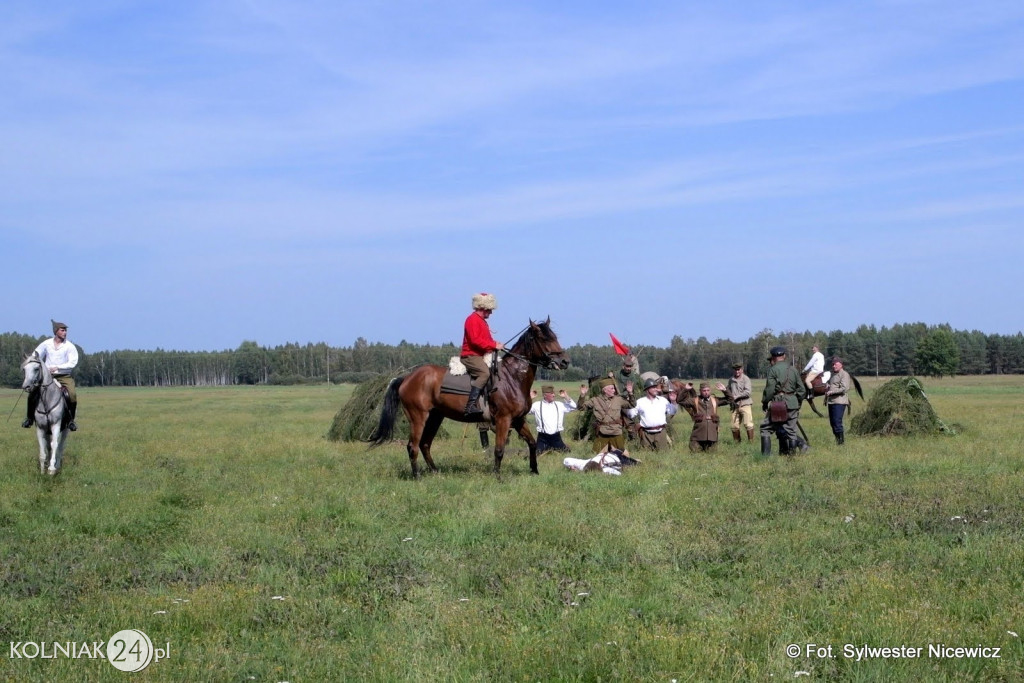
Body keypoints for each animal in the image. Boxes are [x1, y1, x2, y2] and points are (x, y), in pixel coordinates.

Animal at [368, 317, 569, 479]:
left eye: (555, 336)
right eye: (545, 338)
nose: (564, 362)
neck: (512, 378)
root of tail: (407, 378)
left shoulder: (518, 420)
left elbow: (533, 444)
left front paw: (534, 470)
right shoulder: (503, 420)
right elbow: (499, 450)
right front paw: (497, 476)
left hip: (435, 417)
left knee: (425, 444)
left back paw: (435, 472)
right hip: (418, 418)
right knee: (413, 446)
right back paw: (417, 476)